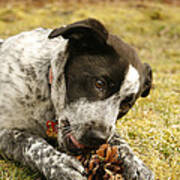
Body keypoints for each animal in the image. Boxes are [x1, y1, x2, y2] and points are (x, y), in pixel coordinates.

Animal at [0, 18, 153, 180]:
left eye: (126, 104)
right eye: (99, 83)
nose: (98, 139)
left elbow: (118, 140)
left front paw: (136, 163)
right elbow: (29, 141)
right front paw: (60, 164)